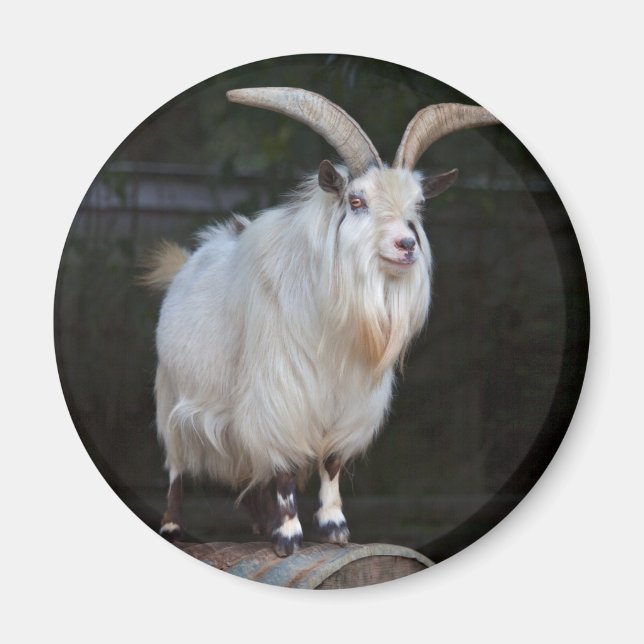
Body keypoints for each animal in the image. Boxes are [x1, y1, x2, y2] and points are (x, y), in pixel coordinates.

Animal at [143, 87, 498, 556]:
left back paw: (260, 524)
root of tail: (189, 260)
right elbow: (283, 467)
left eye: (418, 206)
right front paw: (289, 536)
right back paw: (173, 526)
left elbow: (331, 463)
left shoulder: (350, 403)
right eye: (357, 201)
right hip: (172, 396)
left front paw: (334, 529)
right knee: (177, 466)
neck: (332, 324)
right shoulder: (278, 396)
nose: (406, 245)